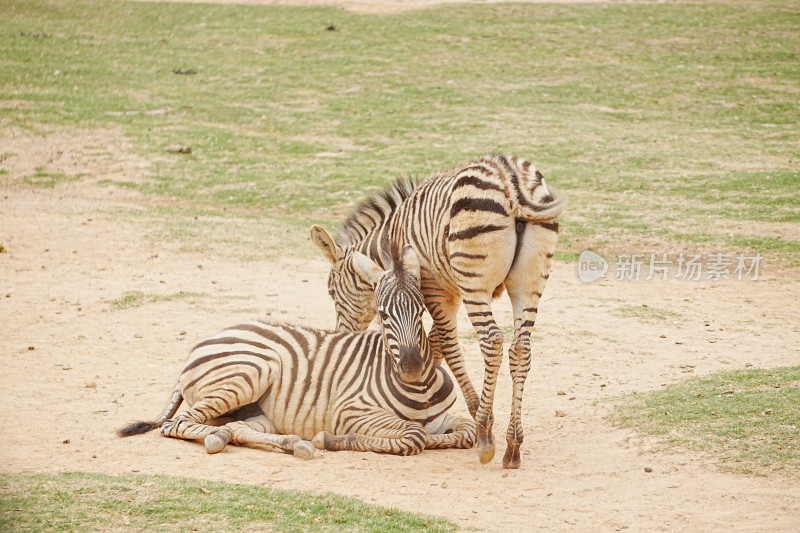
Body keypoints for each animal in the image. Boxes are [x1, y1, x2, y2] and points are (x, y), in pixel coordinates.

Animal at [117, 245, 476, 458]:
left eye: (421, 310)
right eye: (383, 314)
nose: (412, 367)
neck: (421, 389)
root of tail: (210, 338)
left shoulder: (441, 418)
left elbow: (465, 431)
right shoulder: (351, 411)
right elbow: (414, 435)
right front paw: (331, 440)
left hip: (256, 410)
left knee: (237, 428)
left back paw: (285, 442)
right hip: (248, 373)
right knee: (176, 424)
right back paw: (226, 437)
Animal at [310, 153, 564, 466]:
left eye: (331, 291)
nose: (341, 335)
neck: (389, 241)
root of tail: (511, 178)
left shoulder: (434, 291)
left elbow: (445, 344)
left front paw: (472, 408)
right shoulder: (445, 293)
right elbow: (434, 344)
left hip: (474, 282)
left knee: (492, 342)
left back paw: (485, 433)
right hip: (528, 284)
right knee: (521, 349)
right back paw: (513, 446)